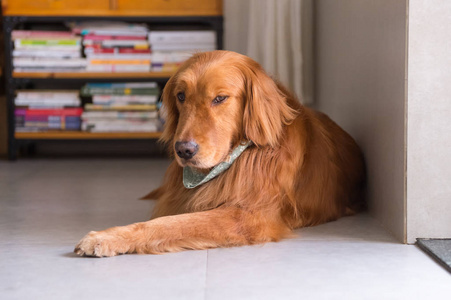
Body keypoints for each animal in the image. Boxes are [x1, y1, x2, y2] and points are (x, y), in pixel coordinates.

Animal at [73, 50, 364, 256]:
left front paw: (106, 237)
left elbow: (171, 224)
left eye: (220, 98)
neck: (239, 158)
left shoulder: (249, 216)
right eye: (181, 96)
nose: (184, 150)